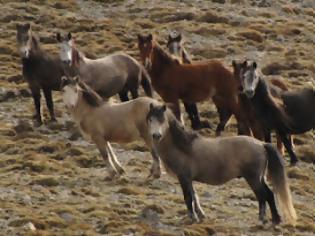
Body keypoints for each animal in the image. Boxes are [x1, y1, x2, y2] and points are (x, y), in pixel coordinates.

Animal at [147, 103, 298, 225]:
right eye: (150, 119)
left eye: (162, 119)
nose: (156, 135)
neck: (183, 147)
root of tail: (261, 144)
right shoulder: (189, 179)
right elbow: (194, 196)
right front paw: (200, 215)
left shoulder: (183, 177)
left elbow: (188, 198)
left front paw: (192, 217)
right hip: (260, 178)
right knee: (269, 195)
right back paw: (275, 219)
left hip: (253, 178)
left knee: (262, 196)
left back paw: (263, 219)